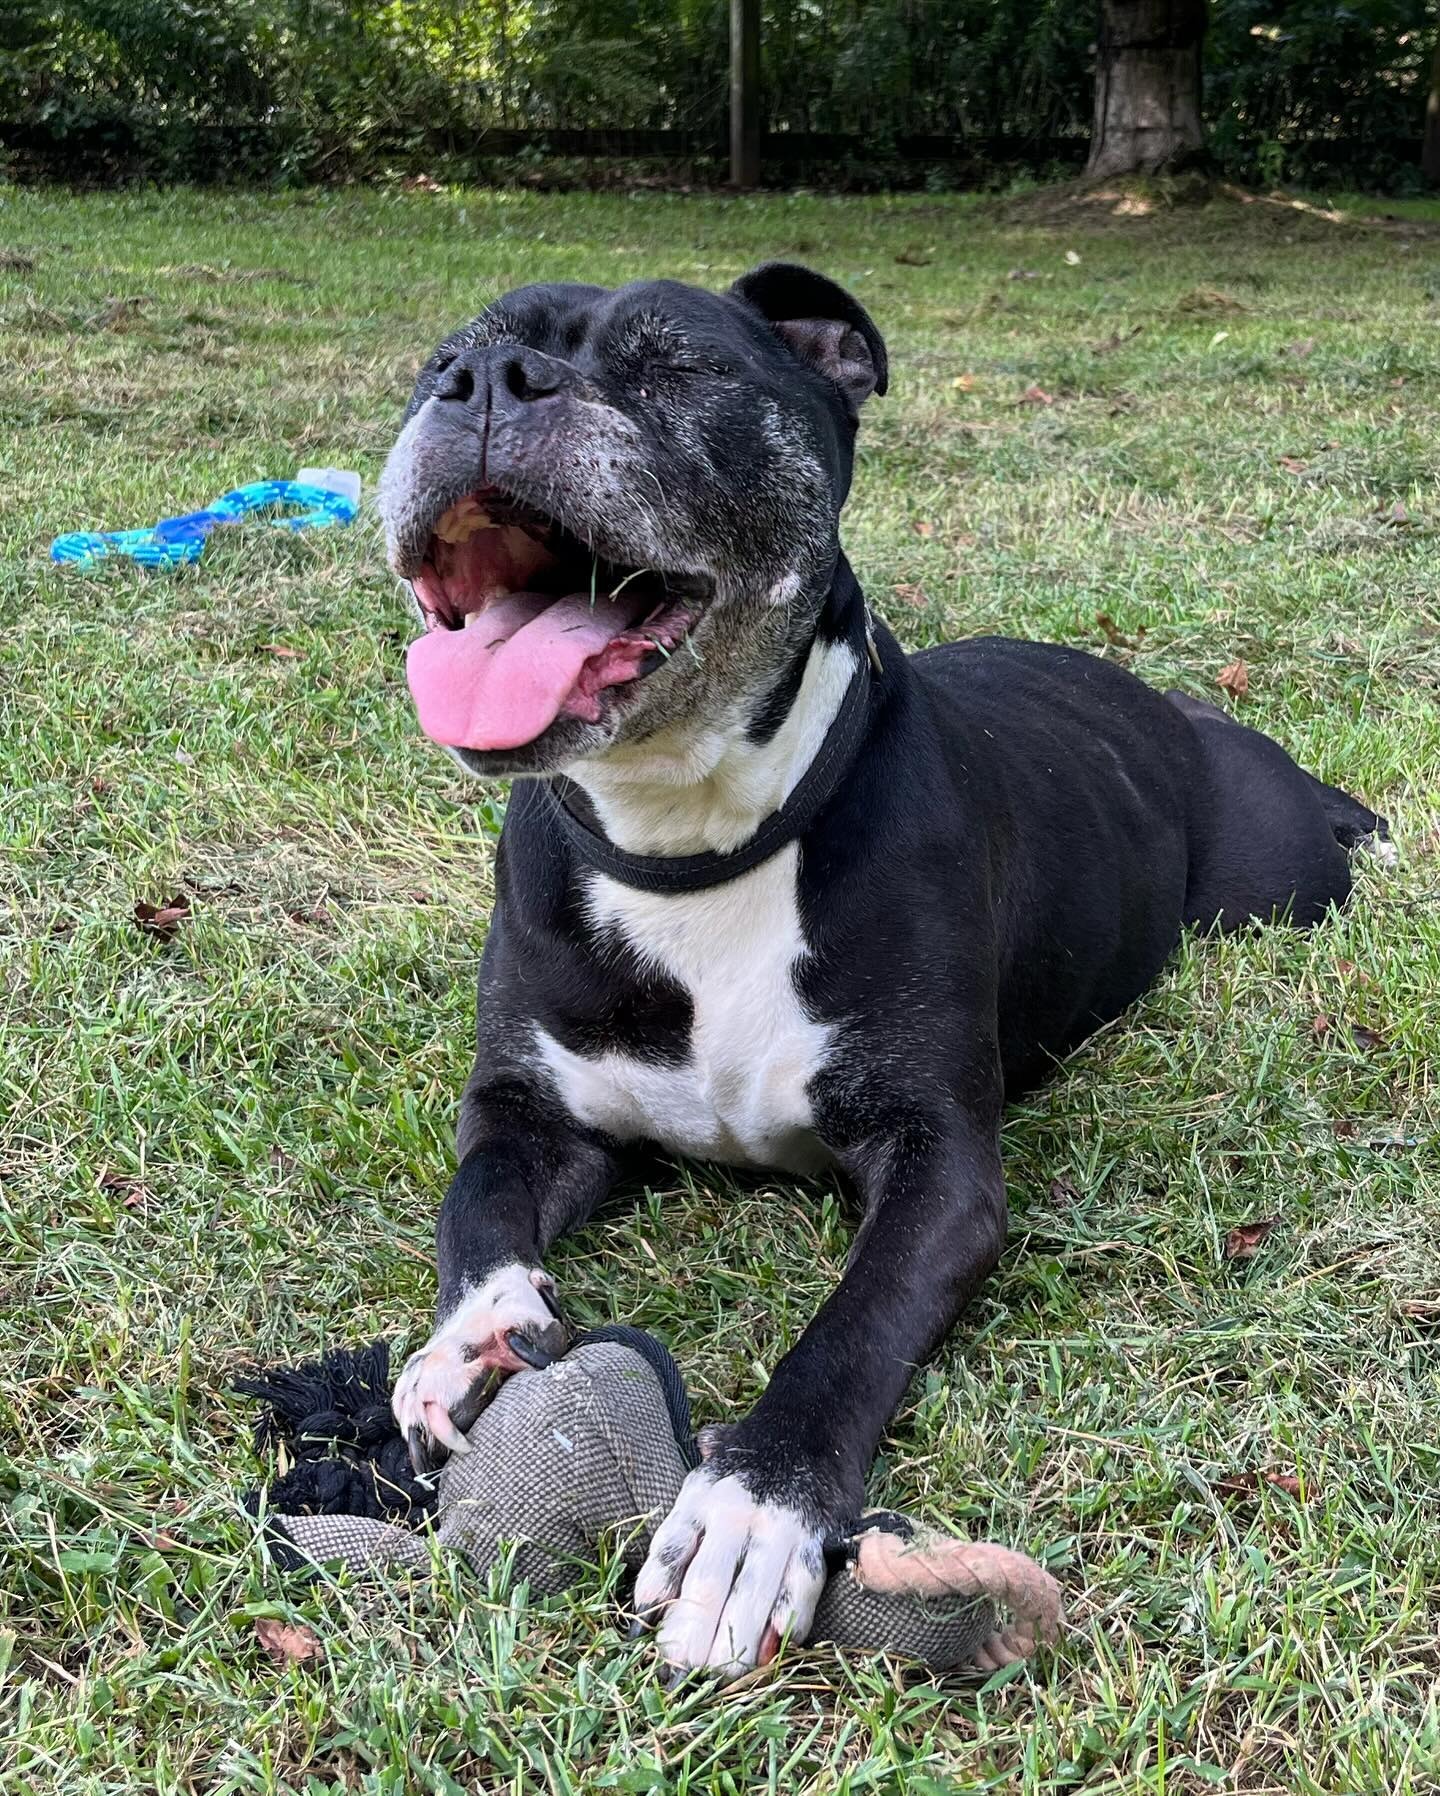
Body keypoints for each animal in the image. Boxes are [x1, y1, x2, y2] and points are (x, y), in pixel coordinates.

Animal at [375, 260, 1386, 1673]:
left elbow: (849, 1330)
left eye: (680, 363)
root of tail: (1171, 707)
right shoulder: (530, 1108)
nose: (481, 384)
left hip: (1281, 885)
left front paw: (754, 1511)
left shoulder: (940, 1167)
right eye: (441, 358)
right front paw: (469, 1336)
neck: (695, 843)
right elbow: (472, 1204)